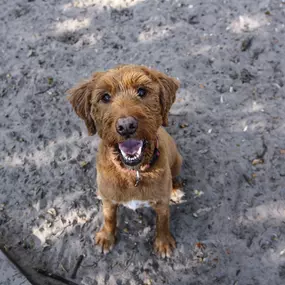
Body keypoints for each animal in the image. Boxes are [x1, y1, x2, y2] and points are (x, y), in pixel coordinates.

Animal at [67, 65, 181, 258]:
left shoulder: (161, 202)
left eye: (142, 91)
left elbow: (163, 221)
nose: (126, 126)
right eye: (105, 97)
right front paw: (106, 237)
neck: (132, 173)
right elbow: (109, 218)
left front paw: (164, 242)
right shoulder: (108, 200)